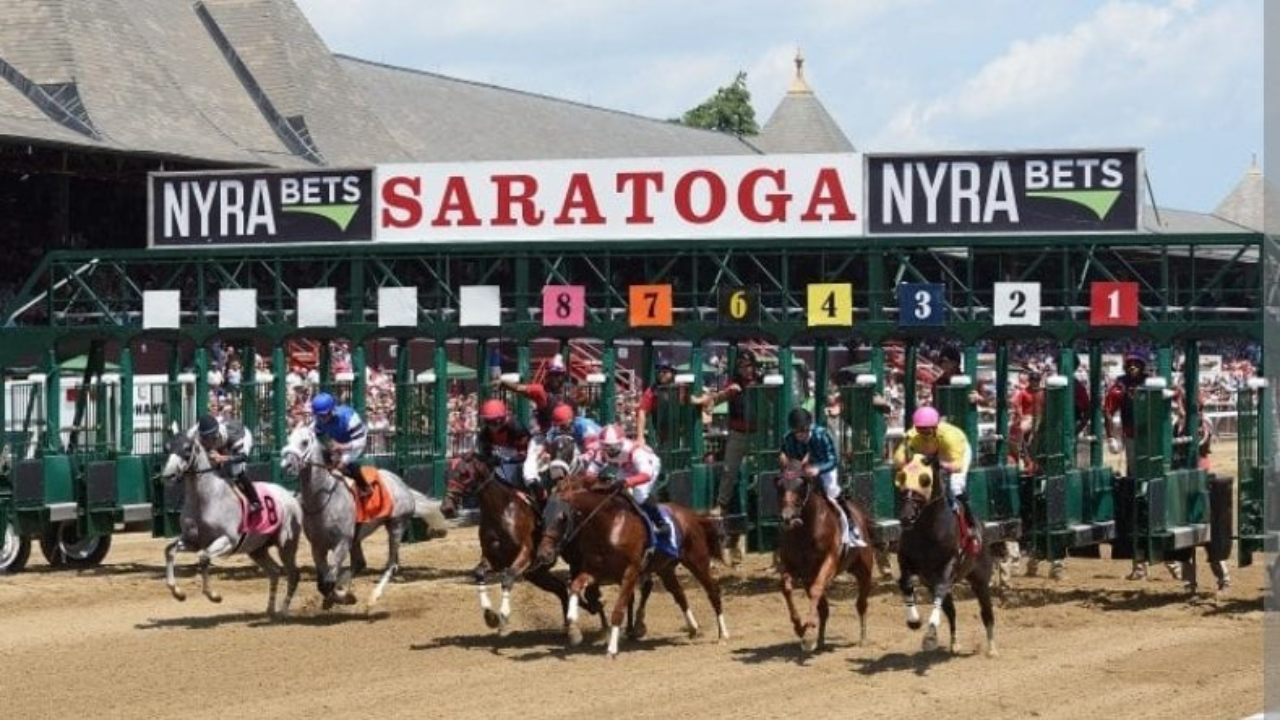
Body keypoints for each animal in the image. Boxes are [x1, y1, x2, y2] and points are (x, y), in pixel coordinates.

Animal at [157, 427, 299, 614]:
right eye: (167, 448)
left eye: (187, 449)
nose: (168, 476)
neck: (206, 499)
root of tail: (289, 495)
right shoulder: (192, 541)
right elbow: (169, 550)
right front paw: (178, 592)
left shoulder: (229, 540)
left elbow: (204, 558)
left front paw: (213, 595)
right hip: (257, 548)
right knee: (275, 571)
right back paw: (270, 610)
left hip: (286, 545)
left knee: (293, 574)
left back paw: (283, 610)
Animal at [277, 422, 448, 607]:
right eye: (288, 439)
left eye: (304, 442)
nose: (286, 466)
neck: (322, 499)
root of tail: (402, 483)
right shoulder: (317, 546)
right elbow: (323, 582)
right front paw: (337, 596)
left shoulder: (342, 543)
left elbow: (328, 581)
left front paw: (342, 596)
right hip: (358, 539)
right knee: (362, 563)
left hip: (396, 525)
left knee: (391, 564)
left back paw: (374, 595)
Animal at [532, 476, 732, 655]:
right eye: (542, 517)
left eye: (562, 517)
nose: (543, 554)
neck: (610, 526)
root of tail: (693, 516)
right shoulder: (594, 571)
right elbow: (575, 586)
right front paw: (573, 628)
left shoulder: (630, 572)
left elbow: (619, 608)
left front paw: (612, 648)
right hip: (665, 569)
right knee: (679, 594)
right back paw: (693, 627)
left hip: (697, 561)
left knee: (713, 591)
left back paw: (723, 634)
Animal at [773, 458, 875, 650]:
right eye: (779, 485)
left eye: (801, 484)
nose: (788, 518)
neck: (804, 530)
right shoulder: (795, 567)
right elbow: (787, 588)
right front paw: (800, 627)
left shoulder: (829, 561)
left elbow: (817, 589)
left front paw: (808, 629)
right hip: (810, 577)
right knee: (824, 608)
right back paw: (819, 640)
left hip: (864, 569)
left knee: (861, 603)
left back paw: (863, 638)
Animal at [896, 453, 993, 655]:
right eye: (901, 477)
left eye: (925, 480)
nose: (906, 517)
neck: (926, 530)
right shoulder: (906, 560)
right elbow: (905, 583)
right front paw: (913, 621)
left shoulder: (948, 566)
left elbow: (941, 589)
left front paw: (930, 636)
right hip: (931, 582)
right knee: (951, 611)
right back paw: (954, 644)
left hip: (980, 580)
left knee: (986, 612)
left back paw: (992, 649)